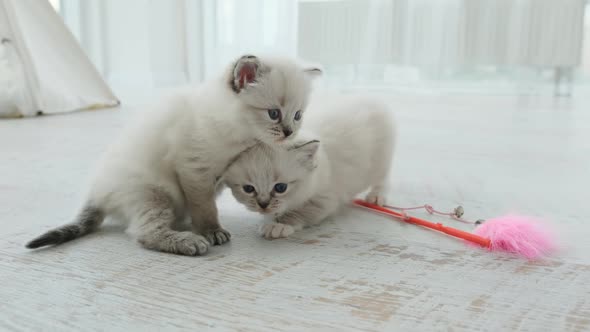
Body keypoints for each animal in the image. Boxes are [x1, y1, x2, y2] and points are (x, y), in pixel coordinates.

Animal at [26, 55, 324, 255]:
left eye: (298, 115)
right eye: (273, 113)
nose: (289, 132)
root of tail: (96, 191)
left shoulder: (216, 175)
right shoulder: (195, 169)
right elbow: (205, 207)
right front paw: (211, 231)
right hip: (155, 194)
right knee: (144, 233)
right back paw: (189, 242)